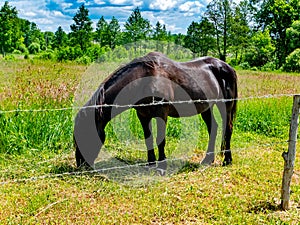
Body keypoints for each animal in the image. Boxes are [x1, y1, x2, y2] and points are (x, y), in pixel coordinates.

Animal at [73, 51, 237, 170]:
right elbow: (148, 138)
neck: (145, 80)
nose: (81, 164)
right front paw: (151, 163)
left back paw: (227, 160)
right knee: (213, 128)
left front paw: (162, 166)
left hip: (225, 106)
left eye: (84, 134)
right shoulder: (143, 115)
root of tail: (226, 66)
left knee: (227, 129)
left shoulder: (161, 114)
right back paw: (208, 160)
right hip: (206, 107)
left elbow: (161, 140)